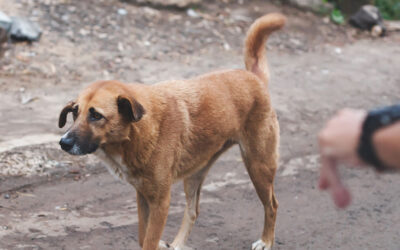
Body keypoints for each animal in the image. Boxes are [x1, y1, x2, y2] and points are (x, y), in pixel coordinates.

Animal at [58, 13, 284, 250]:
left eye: (96, 115)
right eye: (75, 112)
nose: (63, 142)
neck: (138, 132)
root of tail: (254, 77)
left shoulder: (160, 201)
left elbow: (148, 240)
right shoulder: (143, 196)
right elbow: (144, 237)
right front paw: (161, 244)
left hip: (258, 166)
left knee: (272, 205)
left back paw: (266, 241)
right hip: (195, 174)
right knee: (193, 211)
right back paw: (177, 244)